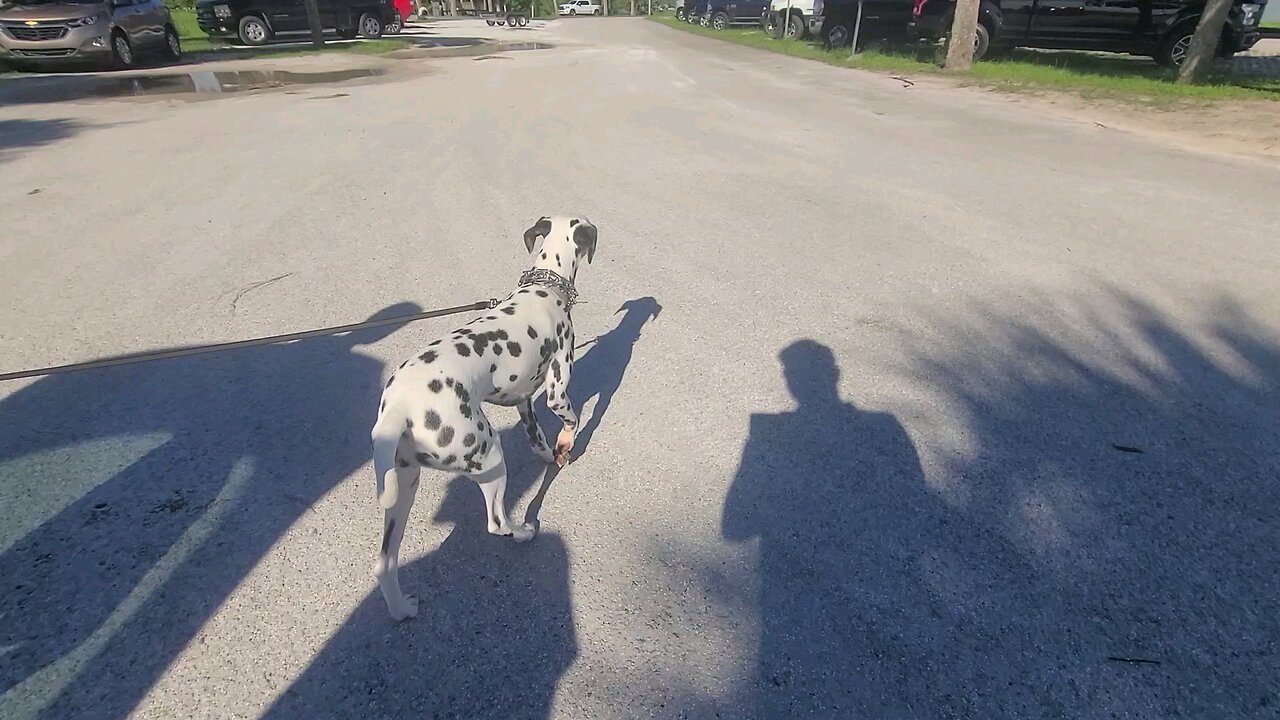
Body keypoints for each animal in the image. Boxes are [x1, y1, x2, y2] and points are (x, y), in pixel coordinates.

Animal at [366, 211, 593, 617]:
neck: (543, 289)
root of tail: (398, 409)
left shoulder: (524, 401)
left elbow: (538, 440)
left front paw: (550, 454)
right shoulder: (556, 390)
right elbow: (572, 419)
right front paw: (567, 445)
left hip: (403, 486)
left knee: (385, 563)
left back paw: (402, 608)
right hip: (489, 457)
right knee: (496, 523)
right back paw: (523, 532)